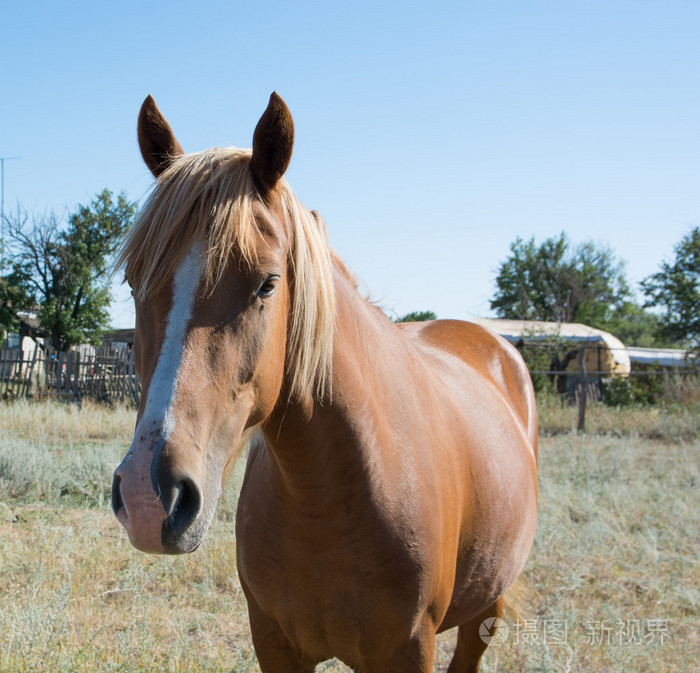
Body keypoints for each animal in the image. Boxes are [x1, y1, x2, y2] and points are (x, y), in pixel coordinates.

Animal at [112, 92, 538, 673]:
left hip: (486, 608)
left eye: (268, 283)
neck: (328, 493)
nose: (149, 496)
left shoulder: (410, 648)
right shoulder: (274, 643)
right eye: (134, 282)